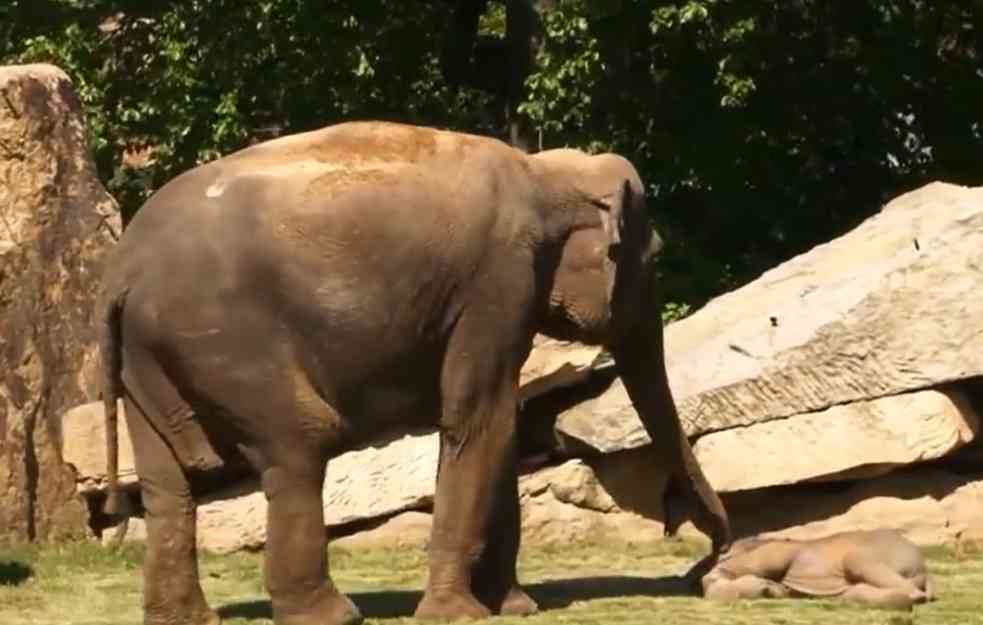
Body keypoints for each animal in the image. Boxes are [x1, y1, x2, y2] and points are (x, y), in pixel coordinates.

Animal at [98, 122, 732, 624]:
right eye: (652, 257)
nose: (706, 561)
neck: (544, 173)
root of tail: (122, 271)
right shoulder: (498, 281)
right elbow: (480, 420)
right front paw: (460, 614)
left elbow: (497, 428)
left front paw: (514, 607)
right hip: (224, 341)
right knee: (299, 443)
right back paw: (334, 616)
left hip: (146, 360)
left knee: (167, 484)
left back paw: (186, 619)